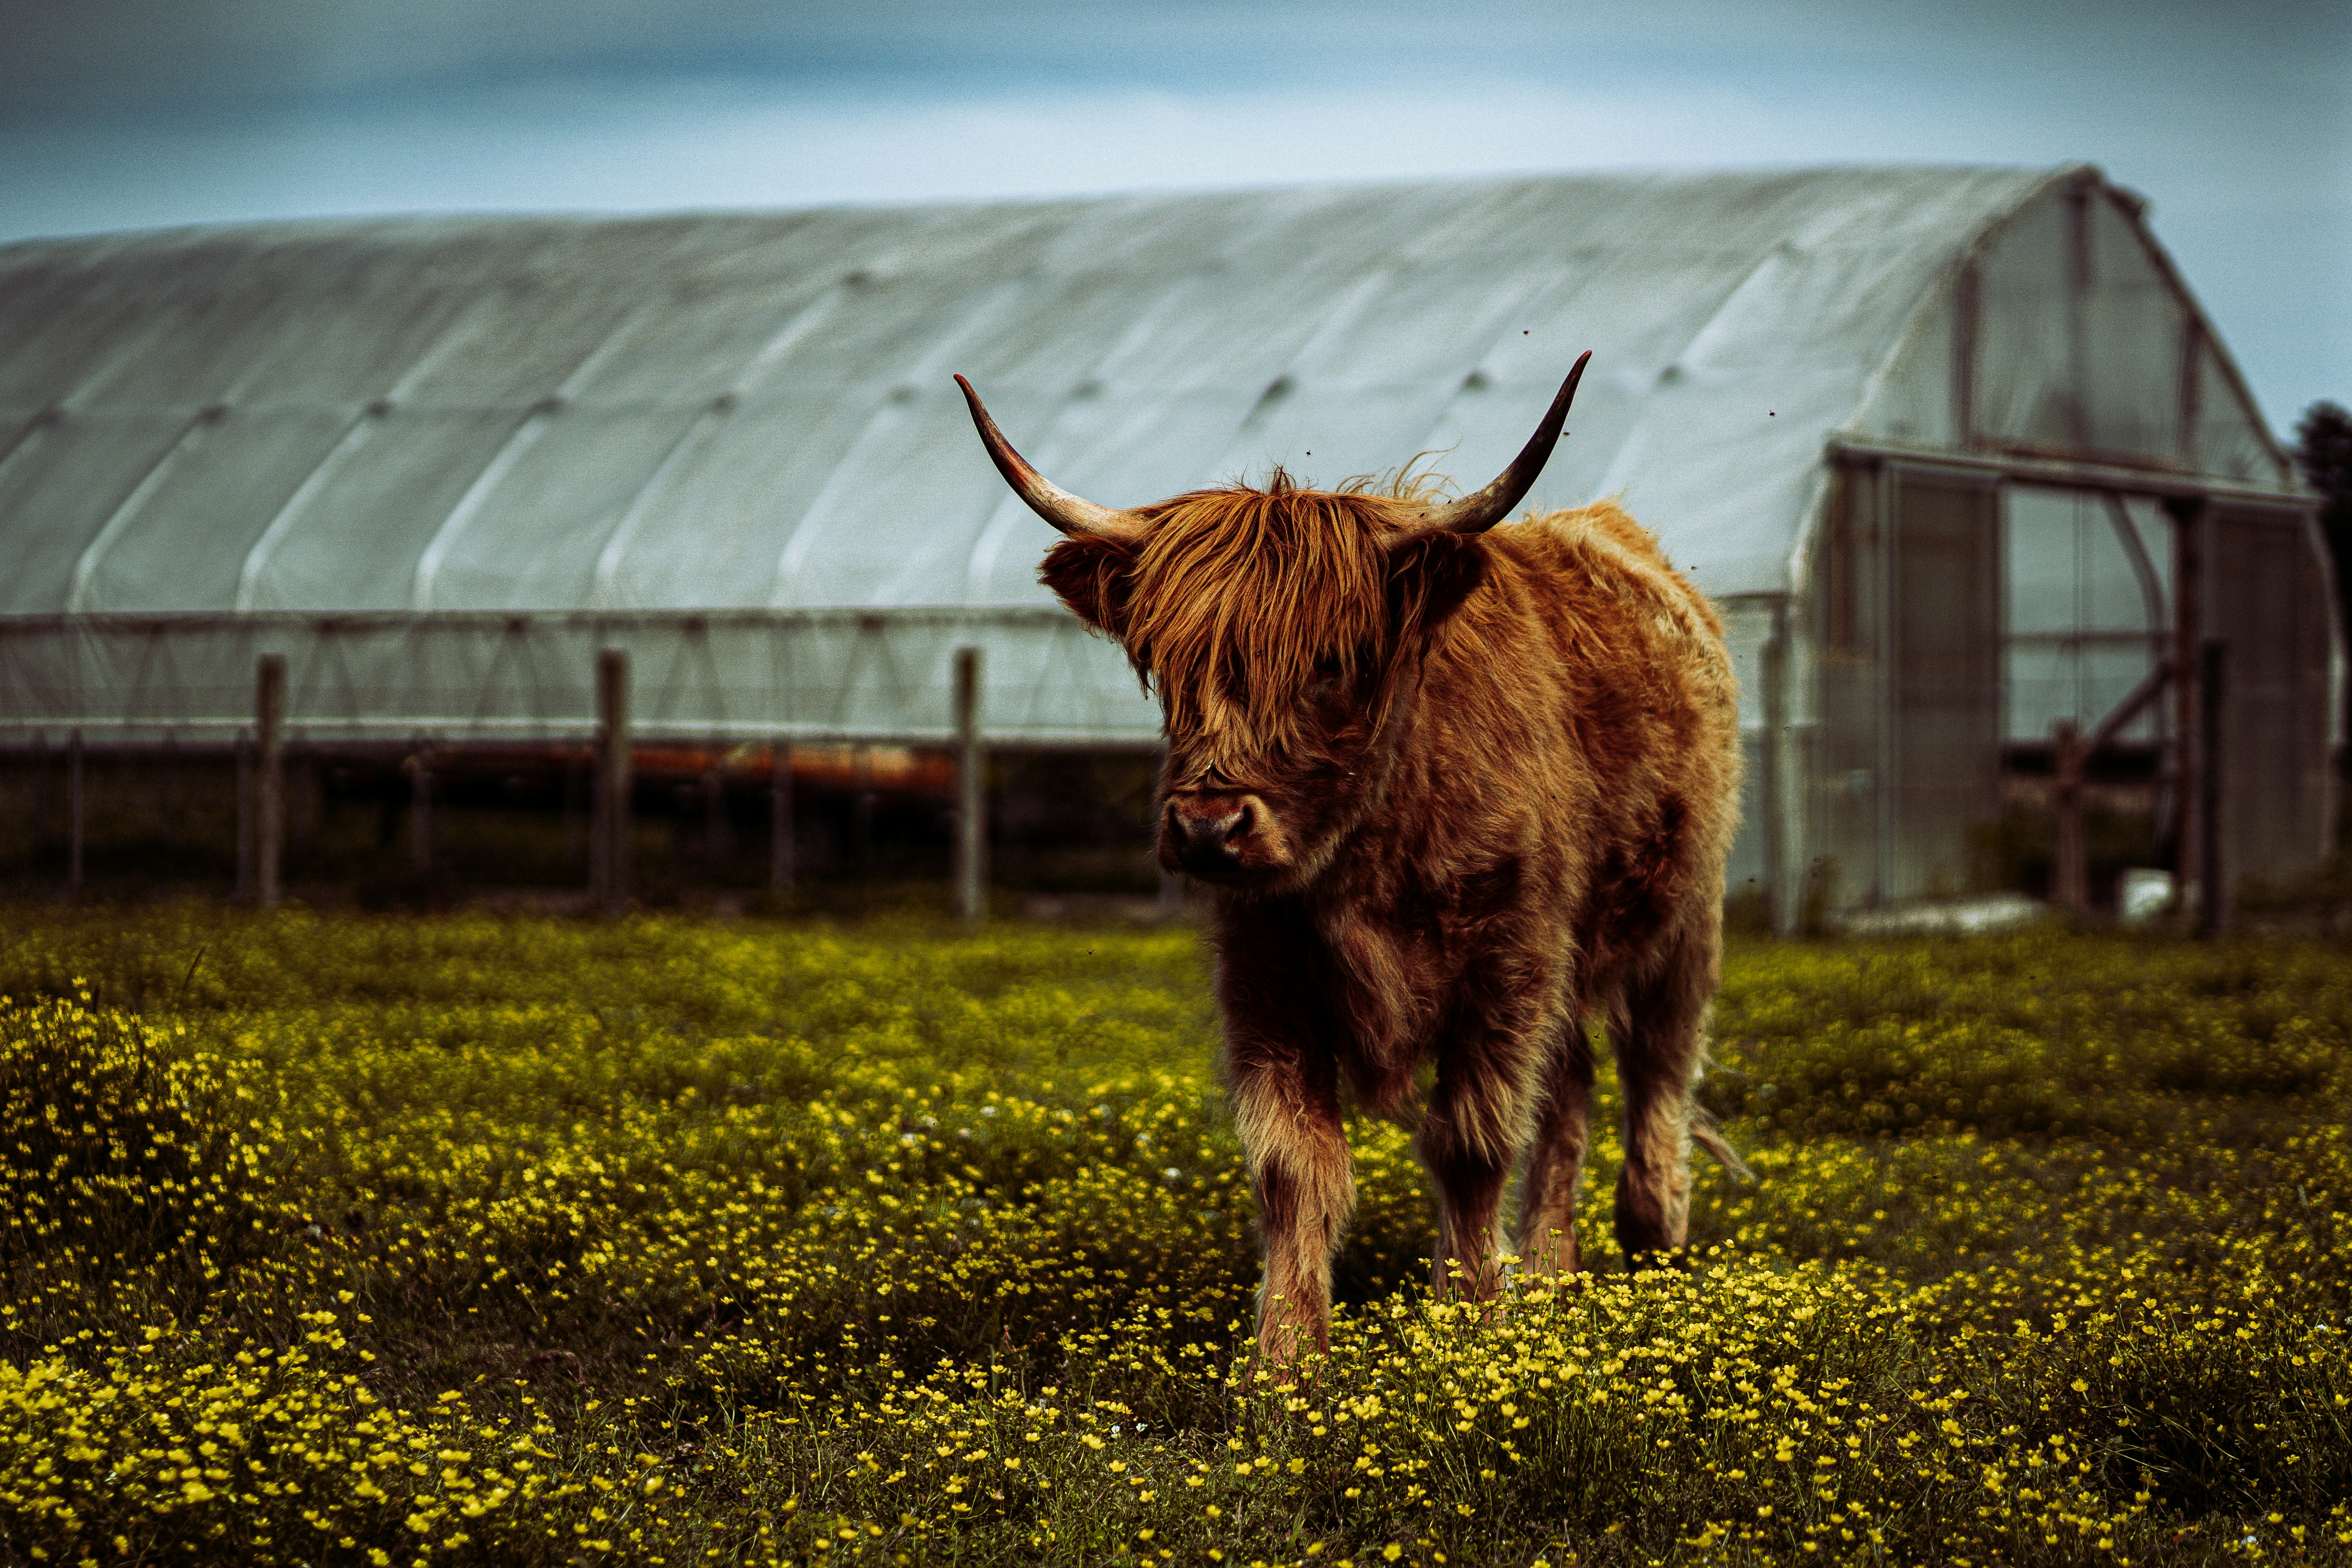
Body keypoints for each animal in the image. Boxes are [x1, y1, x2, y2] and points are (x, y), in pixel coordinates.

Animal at [955, 355, 1743, 1365]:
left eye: (1331, 663)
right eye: (1165, 663)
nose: (1209, 826)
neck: (1368, 858)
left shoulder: (1506, 965)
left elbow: (1472, 1144)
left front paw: (1468, 1329)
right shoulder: (1267, 977)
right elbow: (1296, 1165)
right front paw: (1285, 1362)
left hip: (1683, 926)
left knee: (1657, 1087)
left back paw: (1650, 1264)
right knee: (1569, 1099)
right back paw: (1549, 1283)